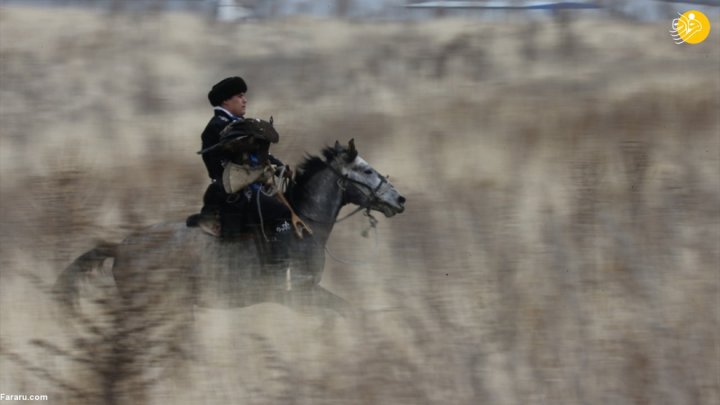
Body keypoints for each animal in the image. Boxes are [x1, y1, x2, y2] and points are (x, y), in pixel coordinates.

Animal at [52, 140, 404, 318]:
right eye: (366, 170)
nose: (399, 200)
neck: (303, 226)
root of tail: (120, 246)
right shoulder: (299, 294)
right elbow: (346, 311)